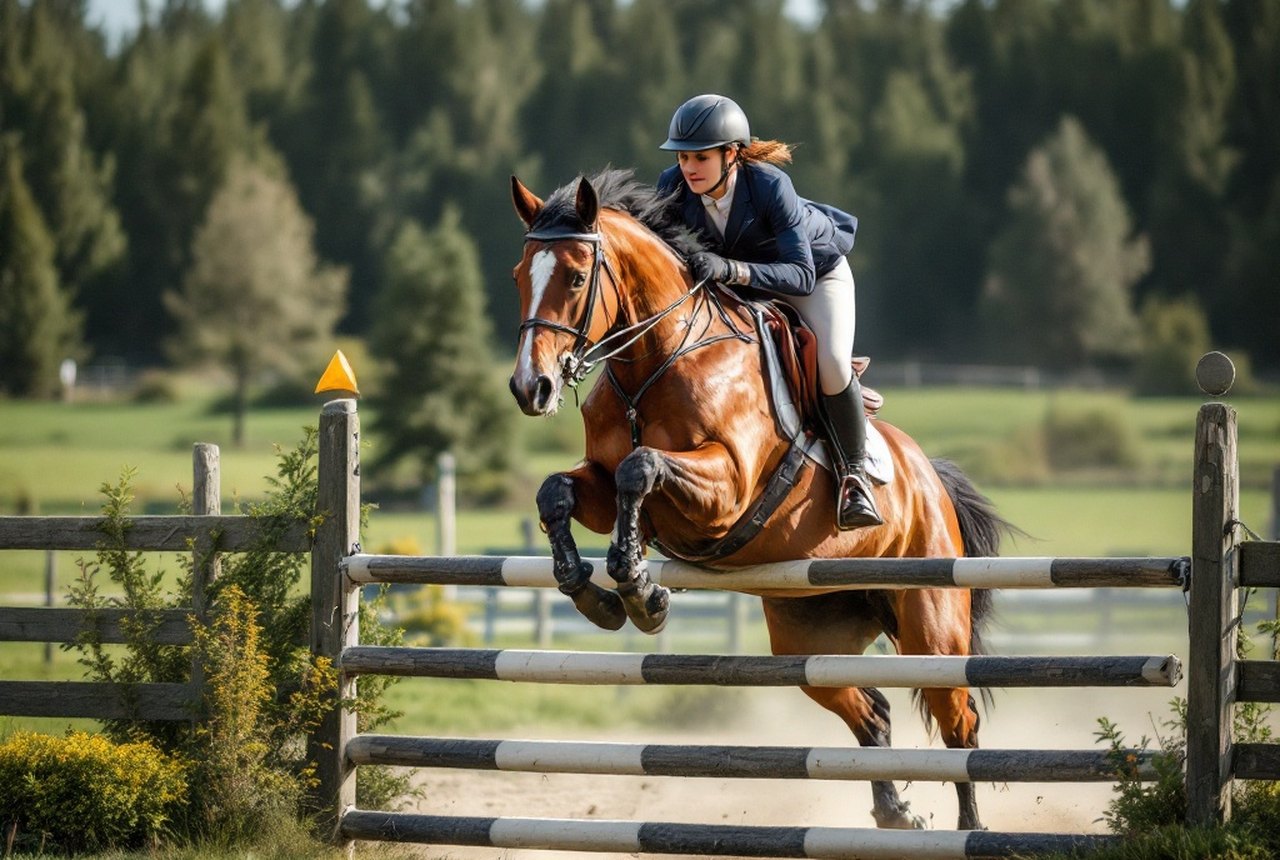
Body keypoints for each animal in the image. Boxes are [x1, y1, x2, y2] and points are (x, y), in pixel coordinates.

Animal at [506, 168, 1007, 832]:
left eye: (576, 277)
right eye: (519, 275)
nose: (529, 388)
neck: (655, 361)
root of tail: (929, 474)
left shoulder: (727, 489)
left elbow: (642, 470)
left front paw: (639, 590)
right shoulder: (599, 483)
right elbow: (558, 492)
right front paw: (591, 593)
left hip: (931, 624)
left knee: (959, 723)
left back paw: (969, 829)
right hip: (810, 637)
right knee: (868, 707)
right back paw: (894, 812)